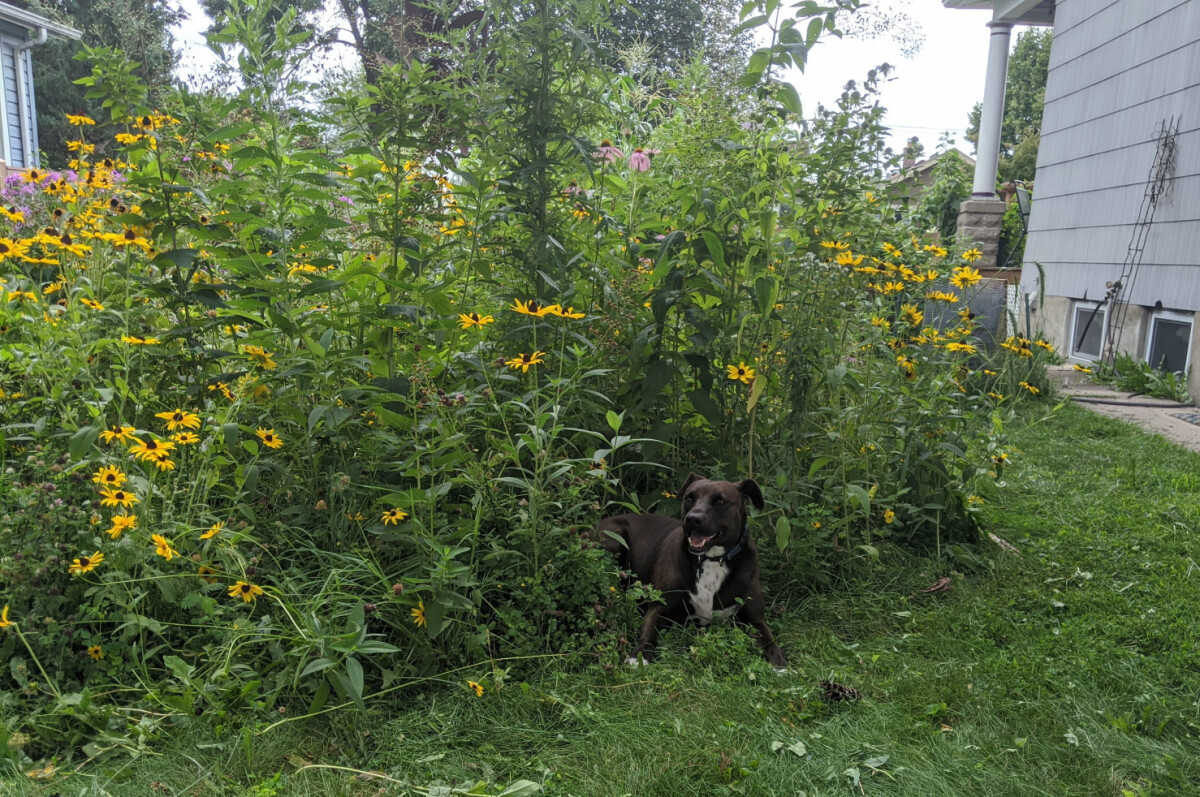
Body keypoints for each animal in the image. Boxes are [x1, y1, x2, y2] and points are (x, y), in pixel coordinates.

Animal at [592, 472, 787, 667]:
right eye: (689, 498)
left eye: (720, 501)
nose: (692, 519)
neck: (712, 559)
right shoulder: (659, 608)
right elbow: (648, 633)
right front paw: (638, 655)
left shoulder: (755, 619)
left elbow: (770, 641)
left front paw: (781, 665)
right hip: (614, 538)